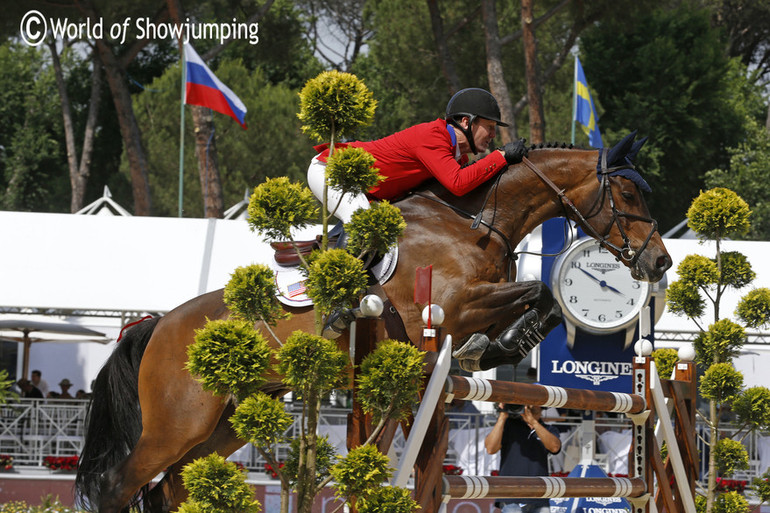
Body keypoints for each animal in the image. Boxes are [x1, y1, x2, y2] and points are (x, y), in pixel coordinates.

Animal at [75, 130, 668, 510]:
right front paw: (495, 345)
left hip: (225, 421)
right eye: (627, 191)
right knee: (118, 487)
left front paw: (497, 347)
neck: (475, 221)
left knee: (169, 488)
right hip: (178, 422)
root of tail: (156, 326)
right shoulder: (450, 306)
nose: (660, 263)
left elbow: (537, 297)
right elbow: (538, 289)